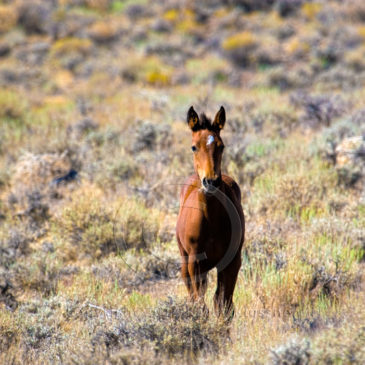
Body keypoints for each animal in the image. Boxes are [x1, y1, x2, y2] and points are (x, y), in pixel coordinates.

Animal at [176, 105, 245, 318]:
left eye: (221, 146)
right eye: (194, 147)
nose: (211, 181)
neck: (211, 219)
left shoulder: (232, 261)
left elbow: (224, 306)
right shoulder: (195, 262)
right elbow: (201, 305)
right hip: (185, 260)